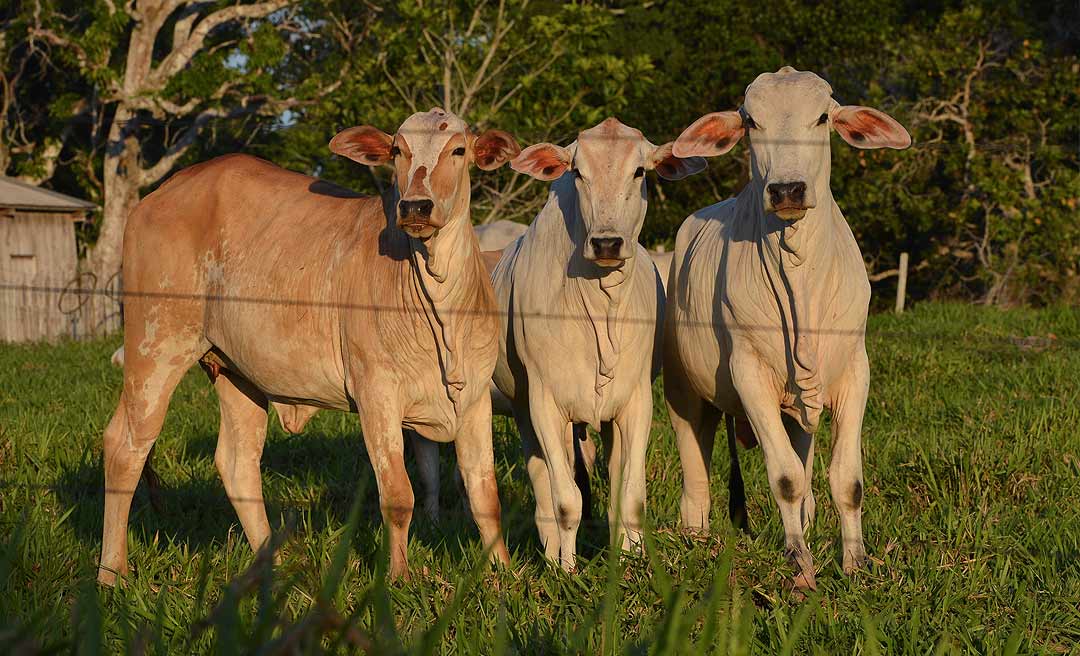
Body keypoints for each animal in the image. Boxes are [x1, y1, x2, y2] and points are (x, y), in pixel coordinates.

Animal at [99, 108, 520, 583]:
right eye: (397, 151)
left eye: (459, 150)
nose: (415, 206)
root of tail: (158, 195)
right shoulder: (376, 394)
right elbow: (398, 496)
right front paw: (398, 578)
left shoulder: (476, 399)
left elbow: (485, 494)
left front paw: (502, 573)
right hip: (155, 345)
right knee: (125, 447)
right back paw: (111, 573)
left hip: (236, 371)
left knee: (238, 462)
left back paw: (272, 566)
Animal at [492, 117, 708, 570]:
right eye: (577, 172)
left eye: (640, 171)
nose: (607, 243)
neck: (598, 305)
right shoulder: (544, 403)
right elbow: (566, 501)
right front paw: (566, 570)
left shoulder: (636, 401)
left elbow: (630, 496)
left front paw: (632, 562)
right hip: (523, 410)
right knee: (544, 489)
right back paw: (552, 555)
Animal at [665, 68, 911, 592]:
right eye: (751, 122)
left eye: (821, 117)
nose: (787, 190)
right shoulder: (749, 375)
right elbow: (785, 478)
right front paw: (799, 565)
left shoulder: (856, 371)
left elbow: (846, 479)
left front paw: (855, 563)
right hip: (683, 388)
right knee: (696, 459)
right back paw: (696, 534)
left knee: (805, 453)